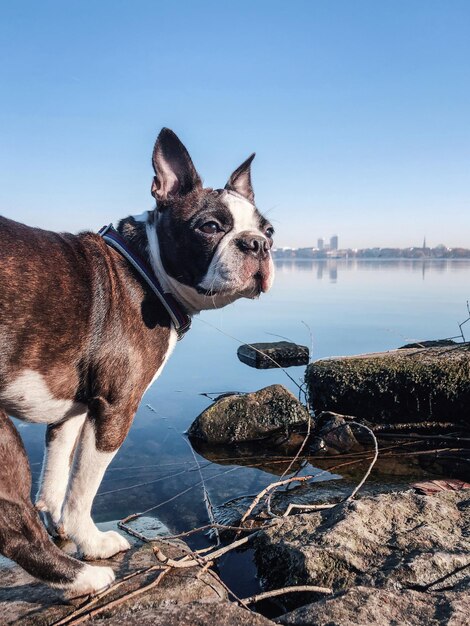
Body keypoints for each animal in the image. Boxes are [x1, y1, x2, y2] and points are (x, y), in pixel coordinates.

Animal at [0, 128, 276, 596]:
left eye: (269, 230)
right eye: (210, 227)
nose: (257, 244)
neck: (145, 268)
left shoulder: (73, 408)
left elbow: (56, 474)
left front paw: (61, 527)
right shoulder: (116, 407)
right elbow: (82, 490)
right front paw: (90, 541)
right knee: (14, 526)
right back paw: (84, 577)